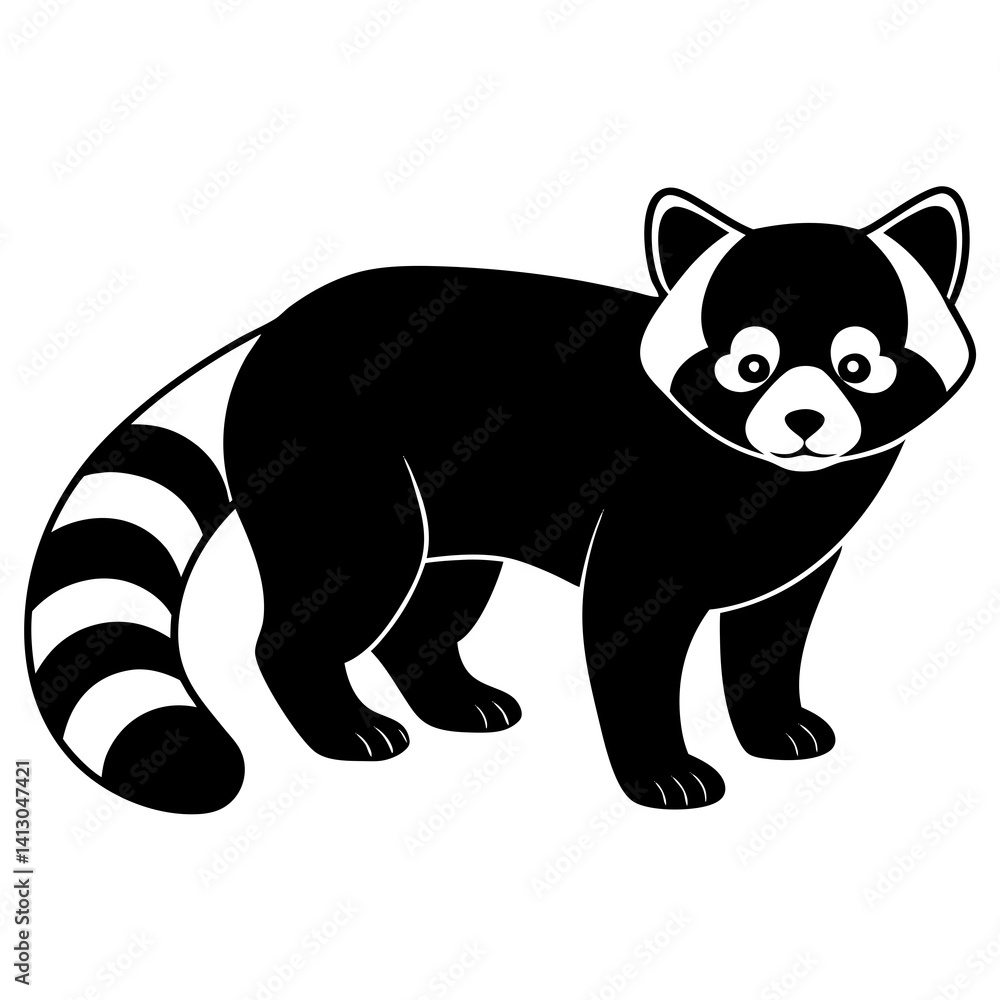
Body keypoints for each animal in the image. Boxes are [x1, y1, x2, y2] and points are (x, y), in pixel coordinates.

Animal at [24, 187, 974, 811]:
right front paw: (659, 768)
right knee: (334, 598)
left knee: (429, 607)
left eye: (858, 363)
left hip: (461, 501)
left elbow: (771, 637)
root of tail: (279, 327)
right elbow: (630, 643)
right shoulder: (646, 521)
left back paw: (448, 697)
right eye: (750, 363)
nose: (806, 421)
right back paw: (339, 726)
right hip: (344, 473)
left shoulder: (801, 549)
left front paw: (773, 722)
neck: (776, 481)